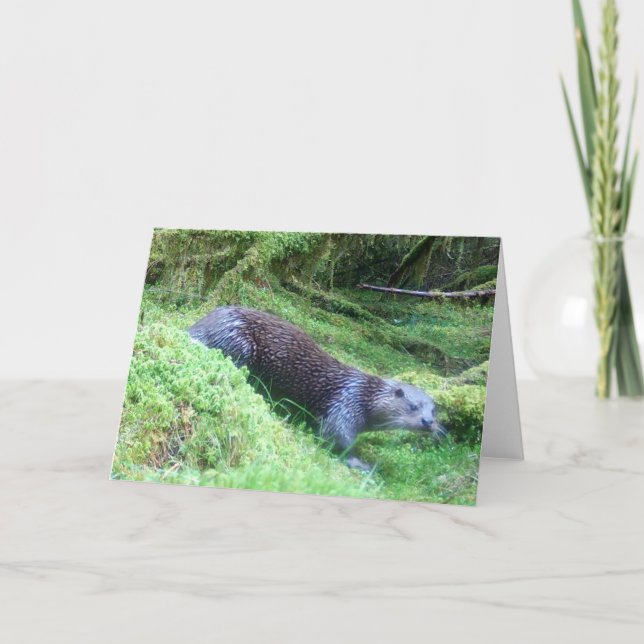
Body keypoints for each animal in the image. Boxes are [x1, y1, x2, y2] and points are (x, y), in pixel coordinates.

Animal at [188, 306, 446, 471]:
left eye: (434, 411)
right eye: (412, 406)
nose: (428, 422)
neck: (365, 395)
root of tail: (200, 326)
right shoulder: (346, 405)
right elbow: (335, 437)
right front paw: (363, 464)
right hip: (239, 343)